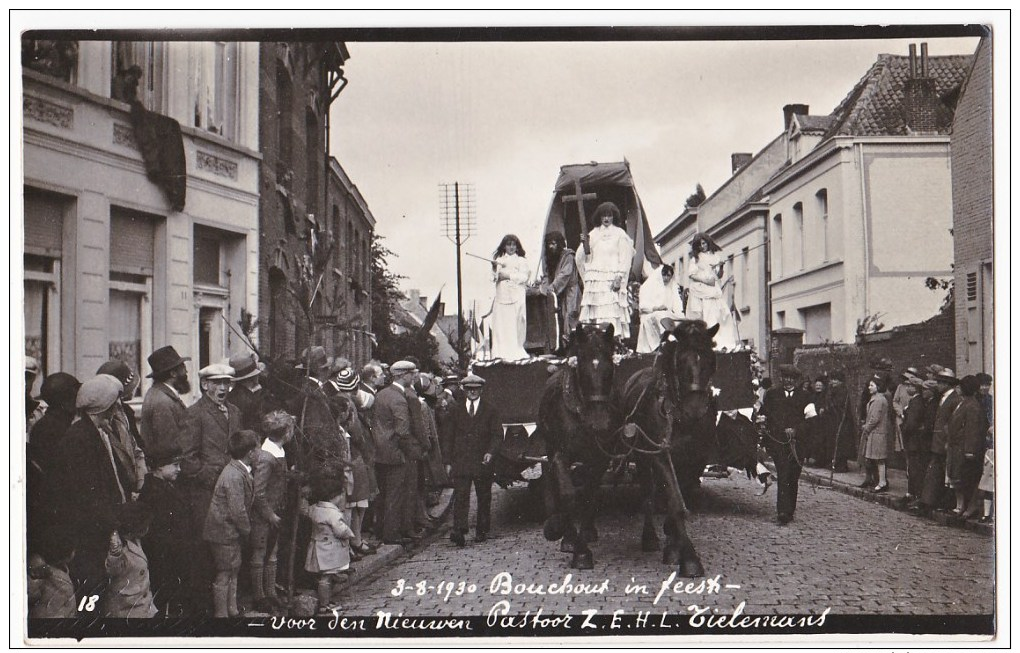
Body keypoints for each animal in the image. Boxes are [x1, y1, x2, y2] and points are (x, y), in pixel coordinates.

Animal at [538, 324, 616, 567]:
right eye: (581, 366)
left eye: (610, 366)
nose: (600, 423)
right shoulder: (559, 454)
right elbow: (567, 495)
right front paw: (572, 543)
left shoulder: (600, 458)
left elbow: (590, 494)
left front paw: (583, 547)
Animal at [612, 318, 718, 579]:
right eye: (681, 361)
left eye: (710, 359)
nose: (695, 410)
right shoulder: (660, 453)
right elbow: (675, 500)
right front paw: (689, 559)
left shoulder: (696, 458)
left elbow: (679, 497)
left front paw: (674, 545)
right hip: (642, 455)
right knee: (649, 494)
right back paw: (650, 537)